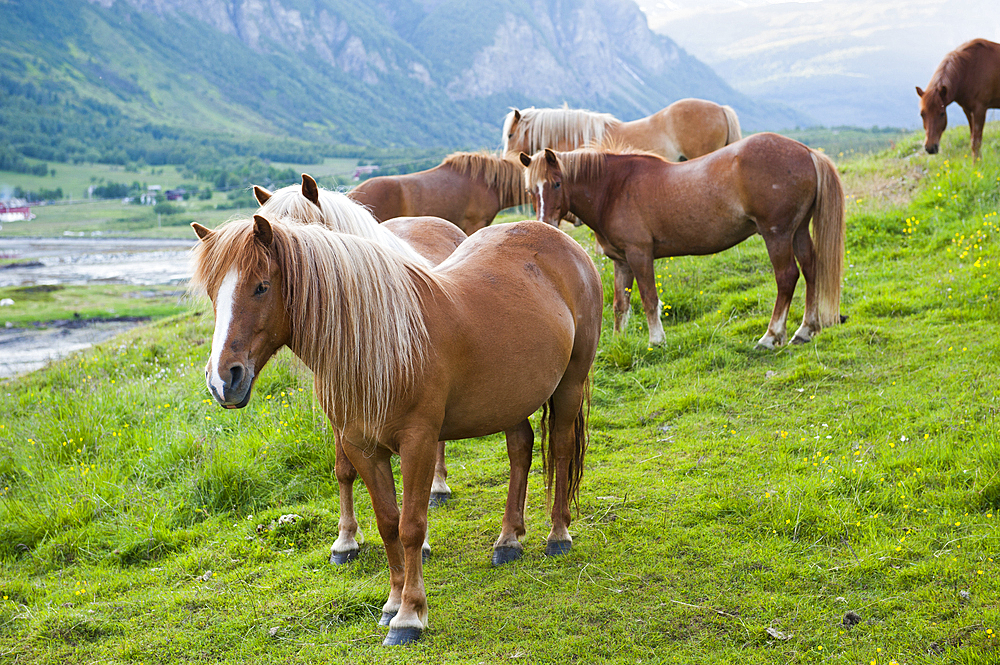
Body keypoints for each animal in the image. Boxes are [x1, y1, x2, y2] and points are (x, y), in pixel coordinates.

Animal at [193, 217, 600, 644]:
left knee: (561, 450)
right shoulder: (361, 447)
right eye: (213, 292)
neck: (378, 345)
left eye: (261, 286)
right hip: (511, 399)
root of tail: (560, 239)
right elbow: (388, 523)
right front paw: (391, 604)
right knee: (520, 451)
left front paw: (410, 616)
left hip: (570, 385)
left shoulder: (418, 443)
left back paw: (558, 535)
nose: (222, 380)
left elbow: (412, 528)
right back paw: (508, 540)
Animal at [524, 130, 844, 348]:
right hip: (798, 231)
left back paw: (771, 335)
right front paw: (619, 341)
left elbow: (649, 298)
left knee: (787, 277)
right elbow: (620, 304)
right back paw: (805, 330)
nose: (544, 225)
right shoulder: (621, 261)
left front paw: (656, 340)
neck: (615, 188)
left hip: (777, 233)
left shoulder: (640, 255)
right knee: (811, 269)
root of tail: (806, 151)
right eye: (529, 190)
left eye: (556, 183)